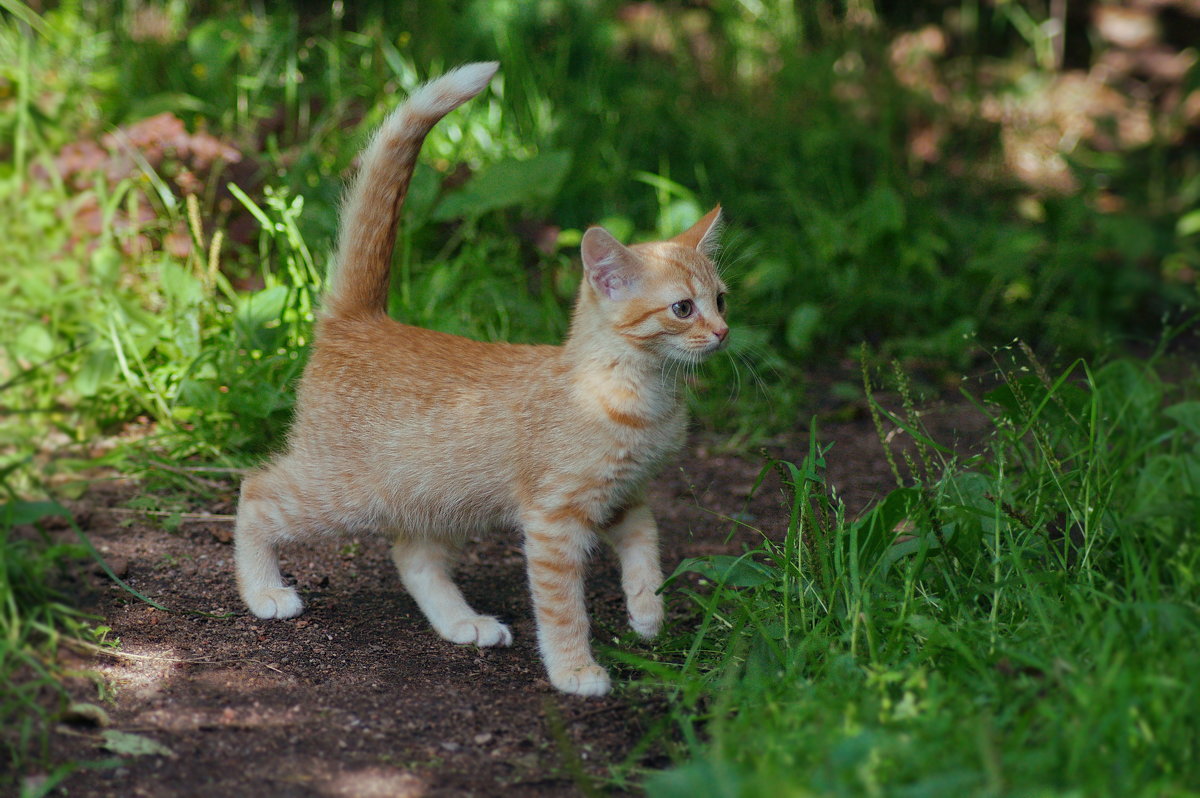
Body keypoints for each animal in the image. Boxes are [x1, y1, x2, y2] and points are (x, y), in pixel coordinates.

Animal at [230, 62, 724, 696]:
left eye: (721, 299)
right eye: (683, 309)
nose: (723, 331)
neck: (637, 391)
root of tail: (362, 320)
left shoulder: (626, 499)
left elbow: (647, 551)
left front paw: (647, 612)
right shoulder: (554, 520)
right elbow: (563, 606)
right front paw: (574, 669)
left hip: (444, 496)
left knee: (411, 555)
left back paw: (462, 623)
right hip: (346, 491)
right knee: (255, 491)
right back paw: (263, 590)